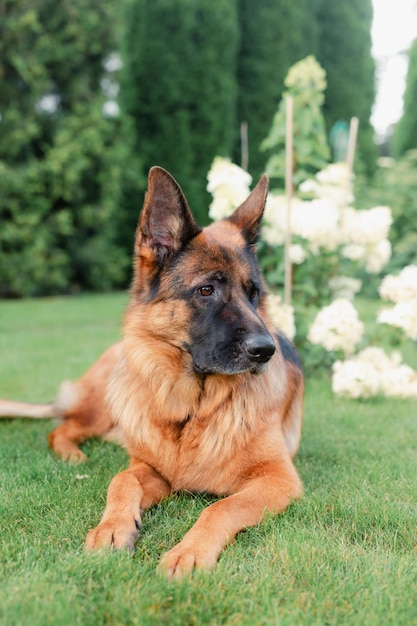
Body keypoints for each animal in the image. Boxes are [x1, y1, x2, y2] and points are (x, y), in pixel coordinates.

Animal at [0, 168, 302, 576]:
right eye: (206, 290)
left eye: (253, 293)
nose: (265, 351)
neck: (192, 409)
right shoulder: (149, 468)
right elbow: (122, 478)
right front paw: (112, 527)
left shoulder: (277, 478)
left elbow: (221, 506)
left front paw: (190, 551)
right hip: (106, 403)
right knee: (61, 427)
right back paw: (72, 455)